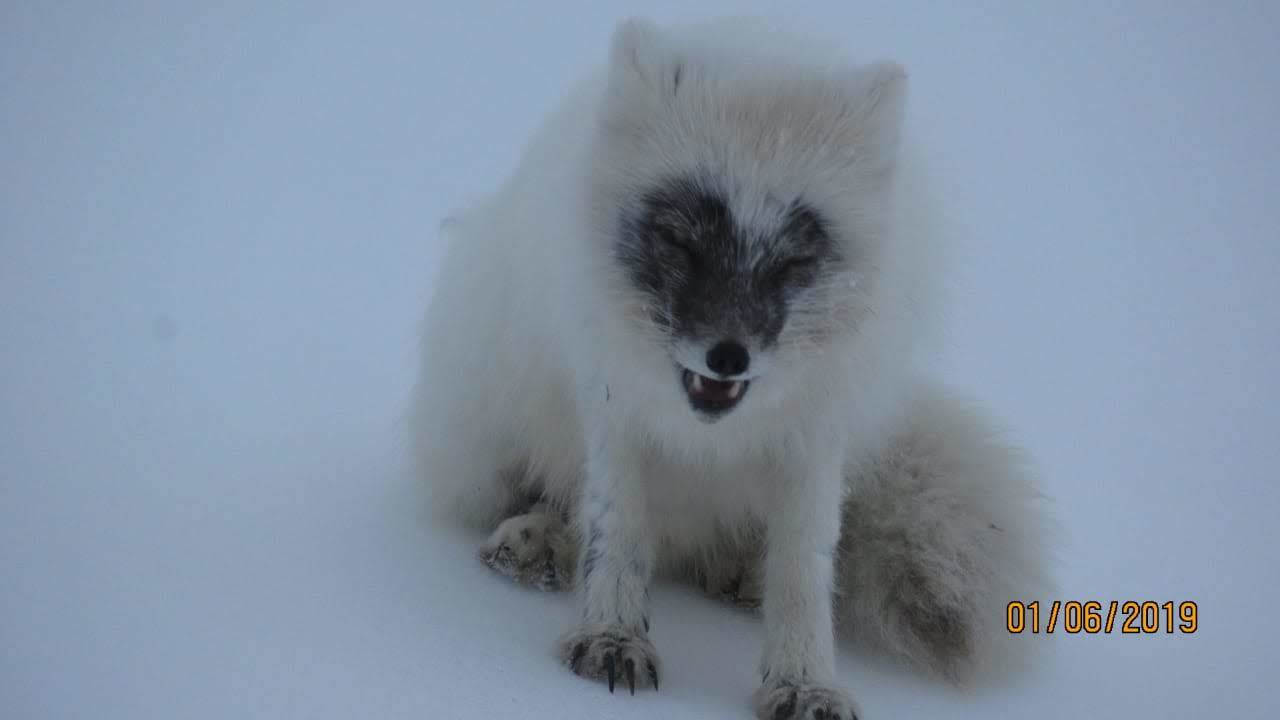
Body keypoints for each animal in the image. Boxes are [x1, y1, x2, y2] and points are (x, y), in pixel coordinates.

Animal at [409, 16, 1049, 717]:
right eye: (680, 238)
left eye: (795, 259)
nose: (727, 355)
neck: (706, 440)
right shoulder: (613, 403)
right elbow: (615, 529)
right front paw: (611, 637)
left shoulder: (816, 434)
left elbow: (803, 571)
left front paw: (805, 683)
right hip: (484, 437)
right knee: (567, 506)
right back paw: (537, 543)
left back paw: (733, 574)